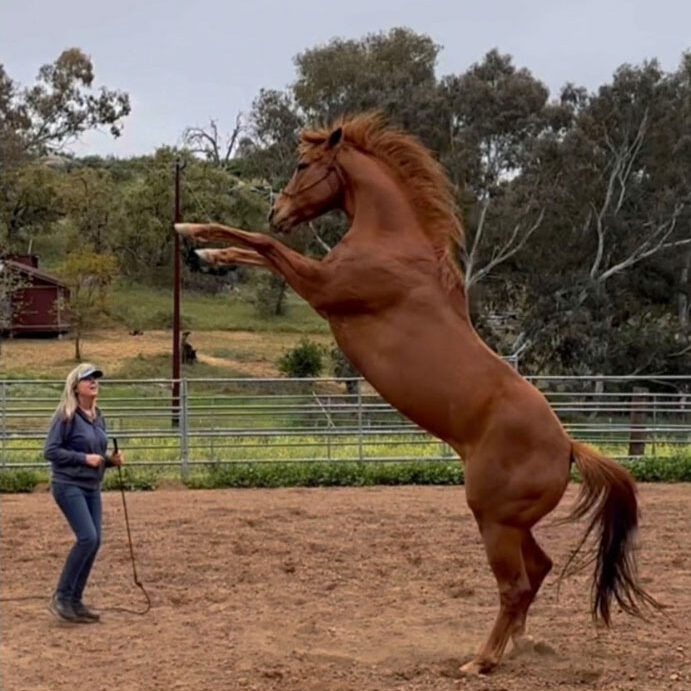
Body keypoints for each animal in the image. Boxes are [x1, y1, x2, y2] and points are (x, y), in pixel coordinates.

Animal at [175, 113, 660, 675]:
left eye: (301, 164)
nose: (278, 211)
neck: (392, 243)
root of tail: (569, 447)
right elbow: (255, 250)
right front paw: (205, 254)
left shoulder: (322, 286)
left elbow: (263, 247)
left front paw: (191, 232)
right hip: (513, 524)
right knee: (539, 571)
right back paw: (517, 645)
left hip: (494, 521)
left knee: (515, 585)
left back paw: (481, 661)